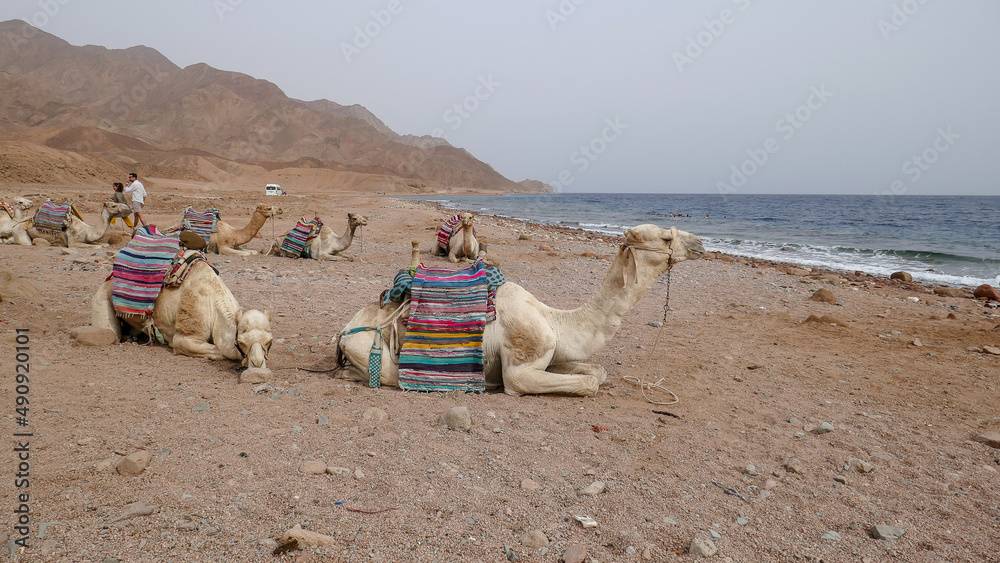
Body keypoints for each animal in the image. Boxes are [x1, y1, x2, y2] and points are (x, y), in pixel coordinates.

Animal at [89, 261, 273, 371]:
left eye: (269, 342)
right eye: (241, 342)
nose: (257, 363)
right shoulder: (185, 338)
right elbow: (221, 352)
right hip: (102, 296)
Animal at [334, 224, 704, 396]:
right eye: (665, 239)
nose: (700, 243)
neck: (556, 321)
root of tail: (343, 331)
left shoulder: (553, 354)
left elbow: (596, 372)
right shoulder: (520, 367)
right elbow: (588, 383)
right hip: (371, 349)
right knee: (387, 373)